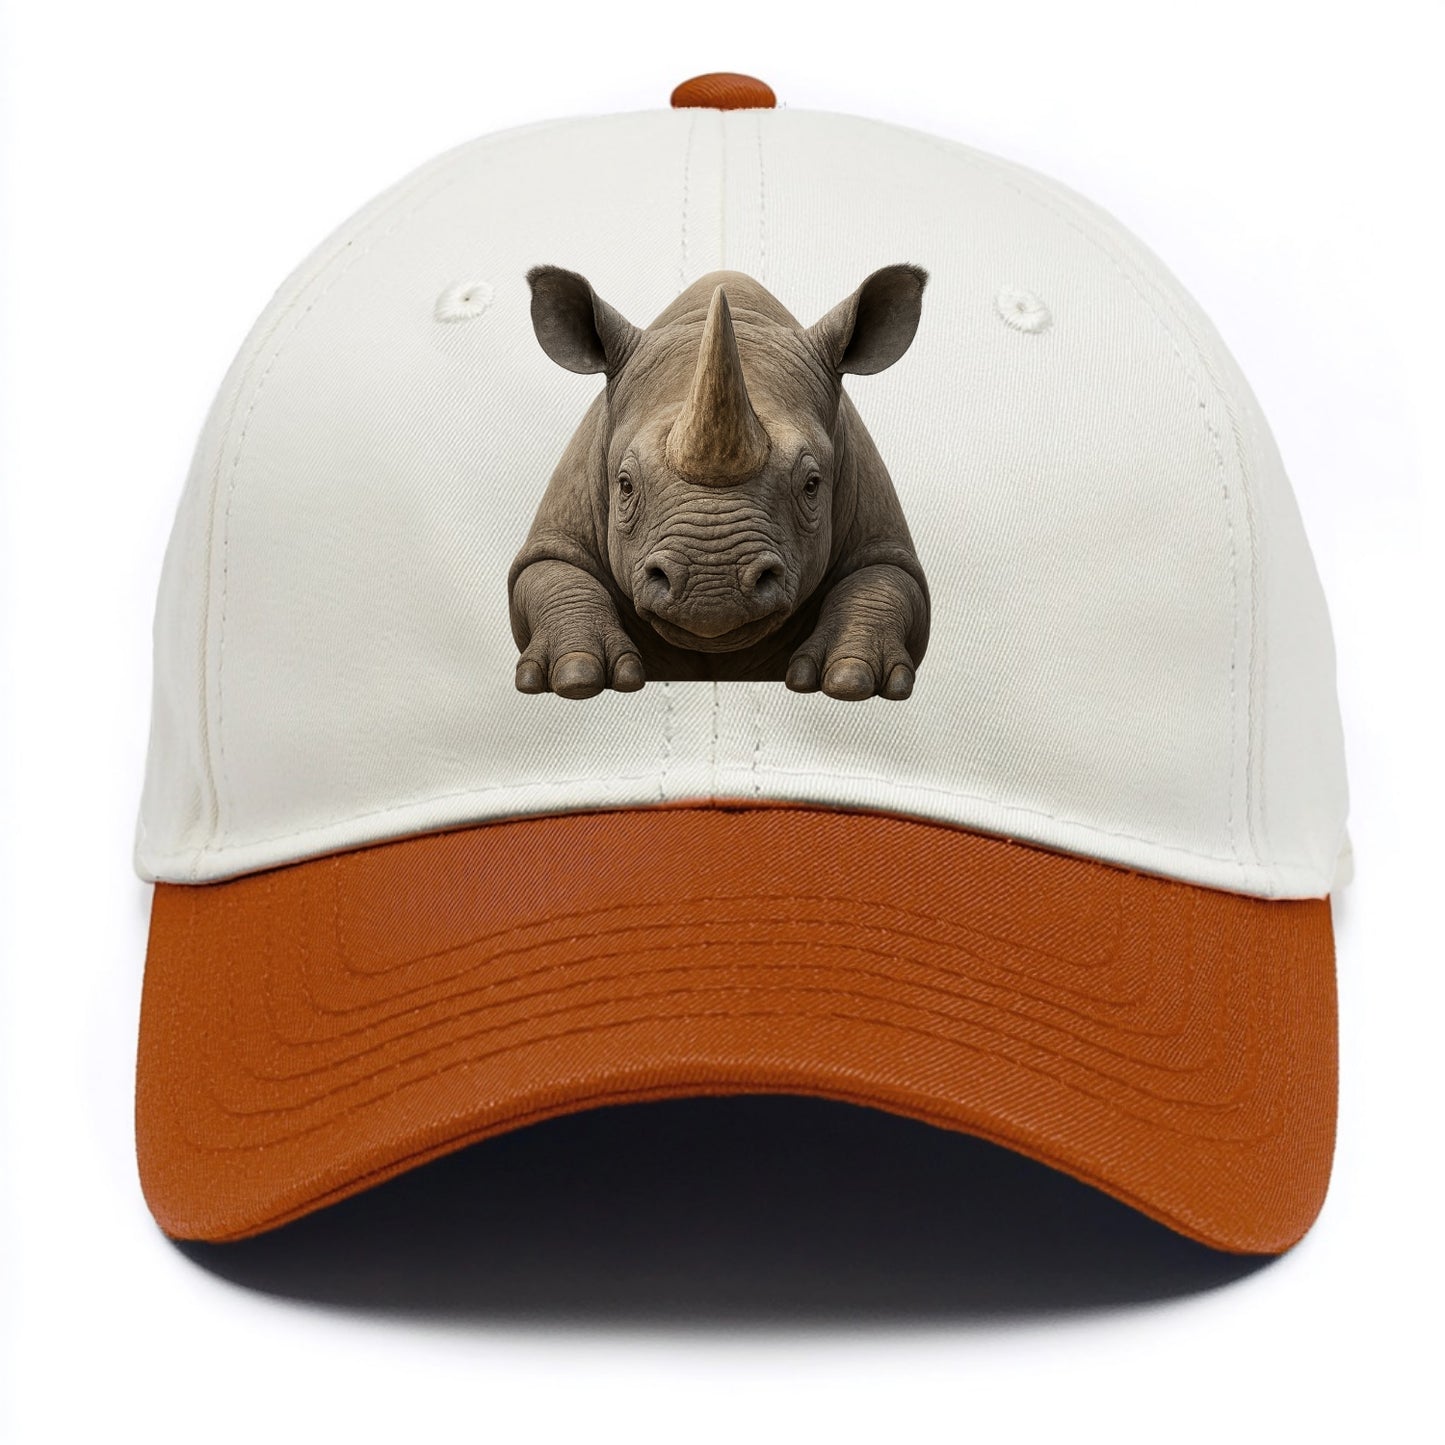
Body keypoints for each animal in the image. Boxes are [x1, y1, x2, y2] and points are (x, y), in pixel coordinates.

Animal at [508, 263, 931, 701]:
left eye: (812, 485)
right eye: (625, 485)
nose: (712, 589)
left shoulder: (880, 532)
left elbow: (884, 580)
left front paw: (851, 680)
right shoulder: (559, 528)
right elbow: (552, 571)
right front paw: (576, 676)